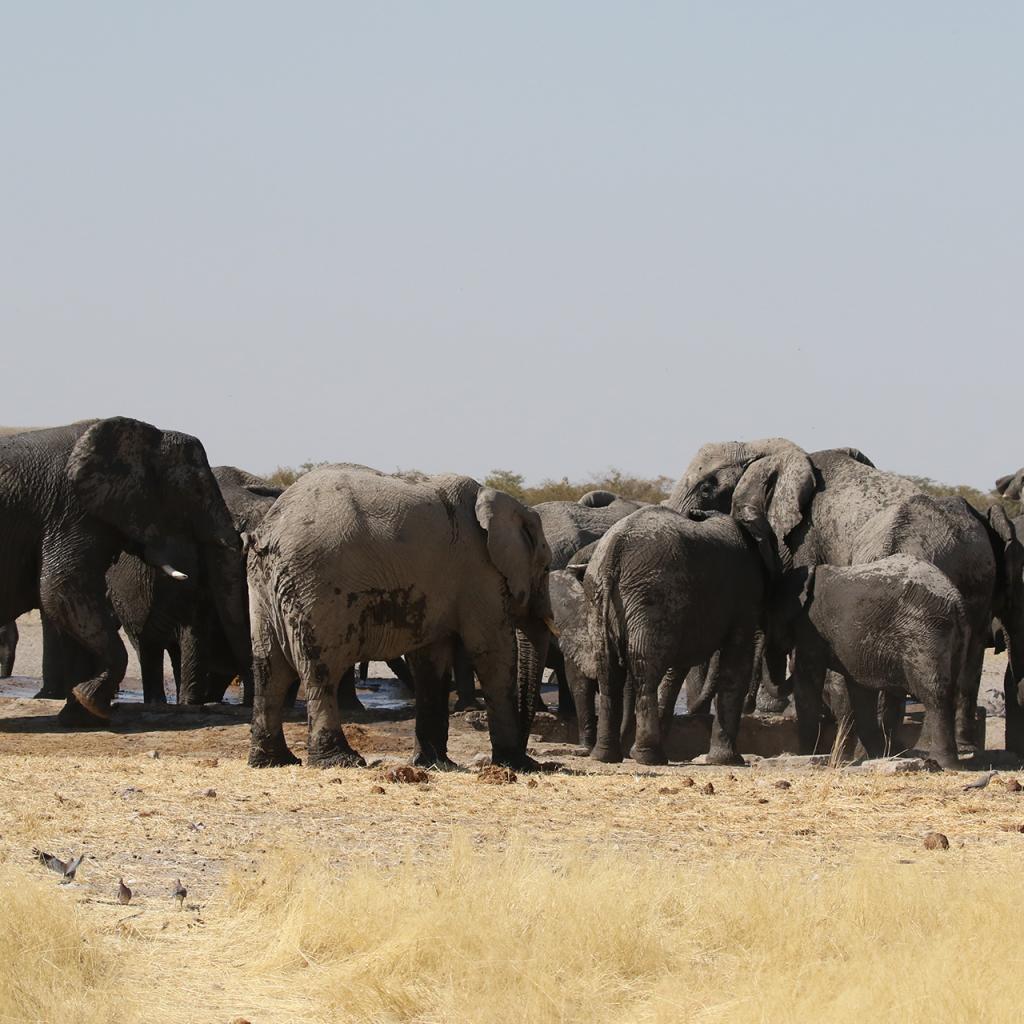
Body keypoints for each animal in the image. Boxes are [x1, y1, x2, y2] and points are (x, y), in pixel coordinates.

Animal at [0, 417, 250, 729]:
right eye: (195, 492)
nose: (245, 707)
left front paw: (79, 714)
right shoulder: (72, 511)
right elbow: (62, 590)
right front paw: (91, 705)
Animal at [245, 464, 552, 770]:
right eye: (547, 567)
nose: (529, 751)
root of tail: (270, 532)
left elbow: (430, 661)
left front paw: (434, 763)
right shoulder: (480, 572)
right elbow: (493, 653)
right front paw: (519, 764)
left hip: (263, 586)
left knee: (269, 668)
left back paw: (272, 761)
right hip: (316, 585)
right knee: (320, 670)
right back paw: (341, 760)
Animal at [552, 507, 774, 765]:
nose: (751, 706)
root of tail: (613, 553)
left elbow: (677, 669)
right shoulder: (745, 596)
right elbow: (736, 662)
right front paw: (729, 761)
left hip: (600, 598)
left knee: (609, 673)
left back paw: (606, 756)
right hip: (654, 596)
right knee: (645, 673)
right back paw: (649, 757)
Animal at [770, 552, 966, 770]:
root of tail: (955, 600)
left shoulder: (810, 629)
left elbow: (808, 684)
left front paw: (805, 755)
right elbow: (860, 691)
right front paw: (877, 756)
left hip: (925, 632)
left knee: (934, 694)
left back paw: (944, 763)